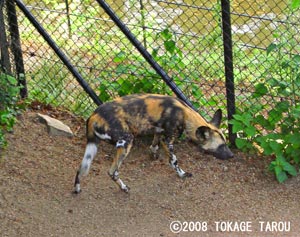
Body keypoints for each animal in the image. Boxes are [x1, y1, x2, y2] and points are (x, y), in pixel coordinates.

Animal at [74, 92, 233, 193]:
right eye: (221, 146)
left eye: (226, 144)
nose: (232, 155)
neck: (185, 115)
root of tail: (93, 116)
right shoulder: (168, 139)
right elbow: (174, 161)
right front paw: (181, 174)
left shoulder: (158, 133)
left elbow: (153, 146)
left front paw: (153, 156)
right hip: (127, 141)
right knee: (112, 172)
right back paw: (124, 188)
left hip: (92, 147)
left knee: (81, 168)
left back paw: (77, 188)